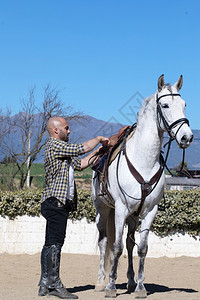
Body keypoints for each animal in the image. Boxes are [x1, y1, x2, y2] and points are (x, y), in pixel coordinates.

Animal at [92, 74, 194, 298]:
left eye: (184, 104)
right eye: (165, 105)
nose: (187, 137)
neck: (144, 161)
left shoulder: (149, 211)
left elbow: (142, 248)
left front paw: (140, 287)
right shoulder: (120, 208)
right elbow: (116, 247)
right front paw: (111, 287)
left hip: (133, 215)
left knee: (130, 243)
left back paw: (130, 282)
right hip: (103, 210)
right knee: (104, 242)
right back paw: (101, 281)